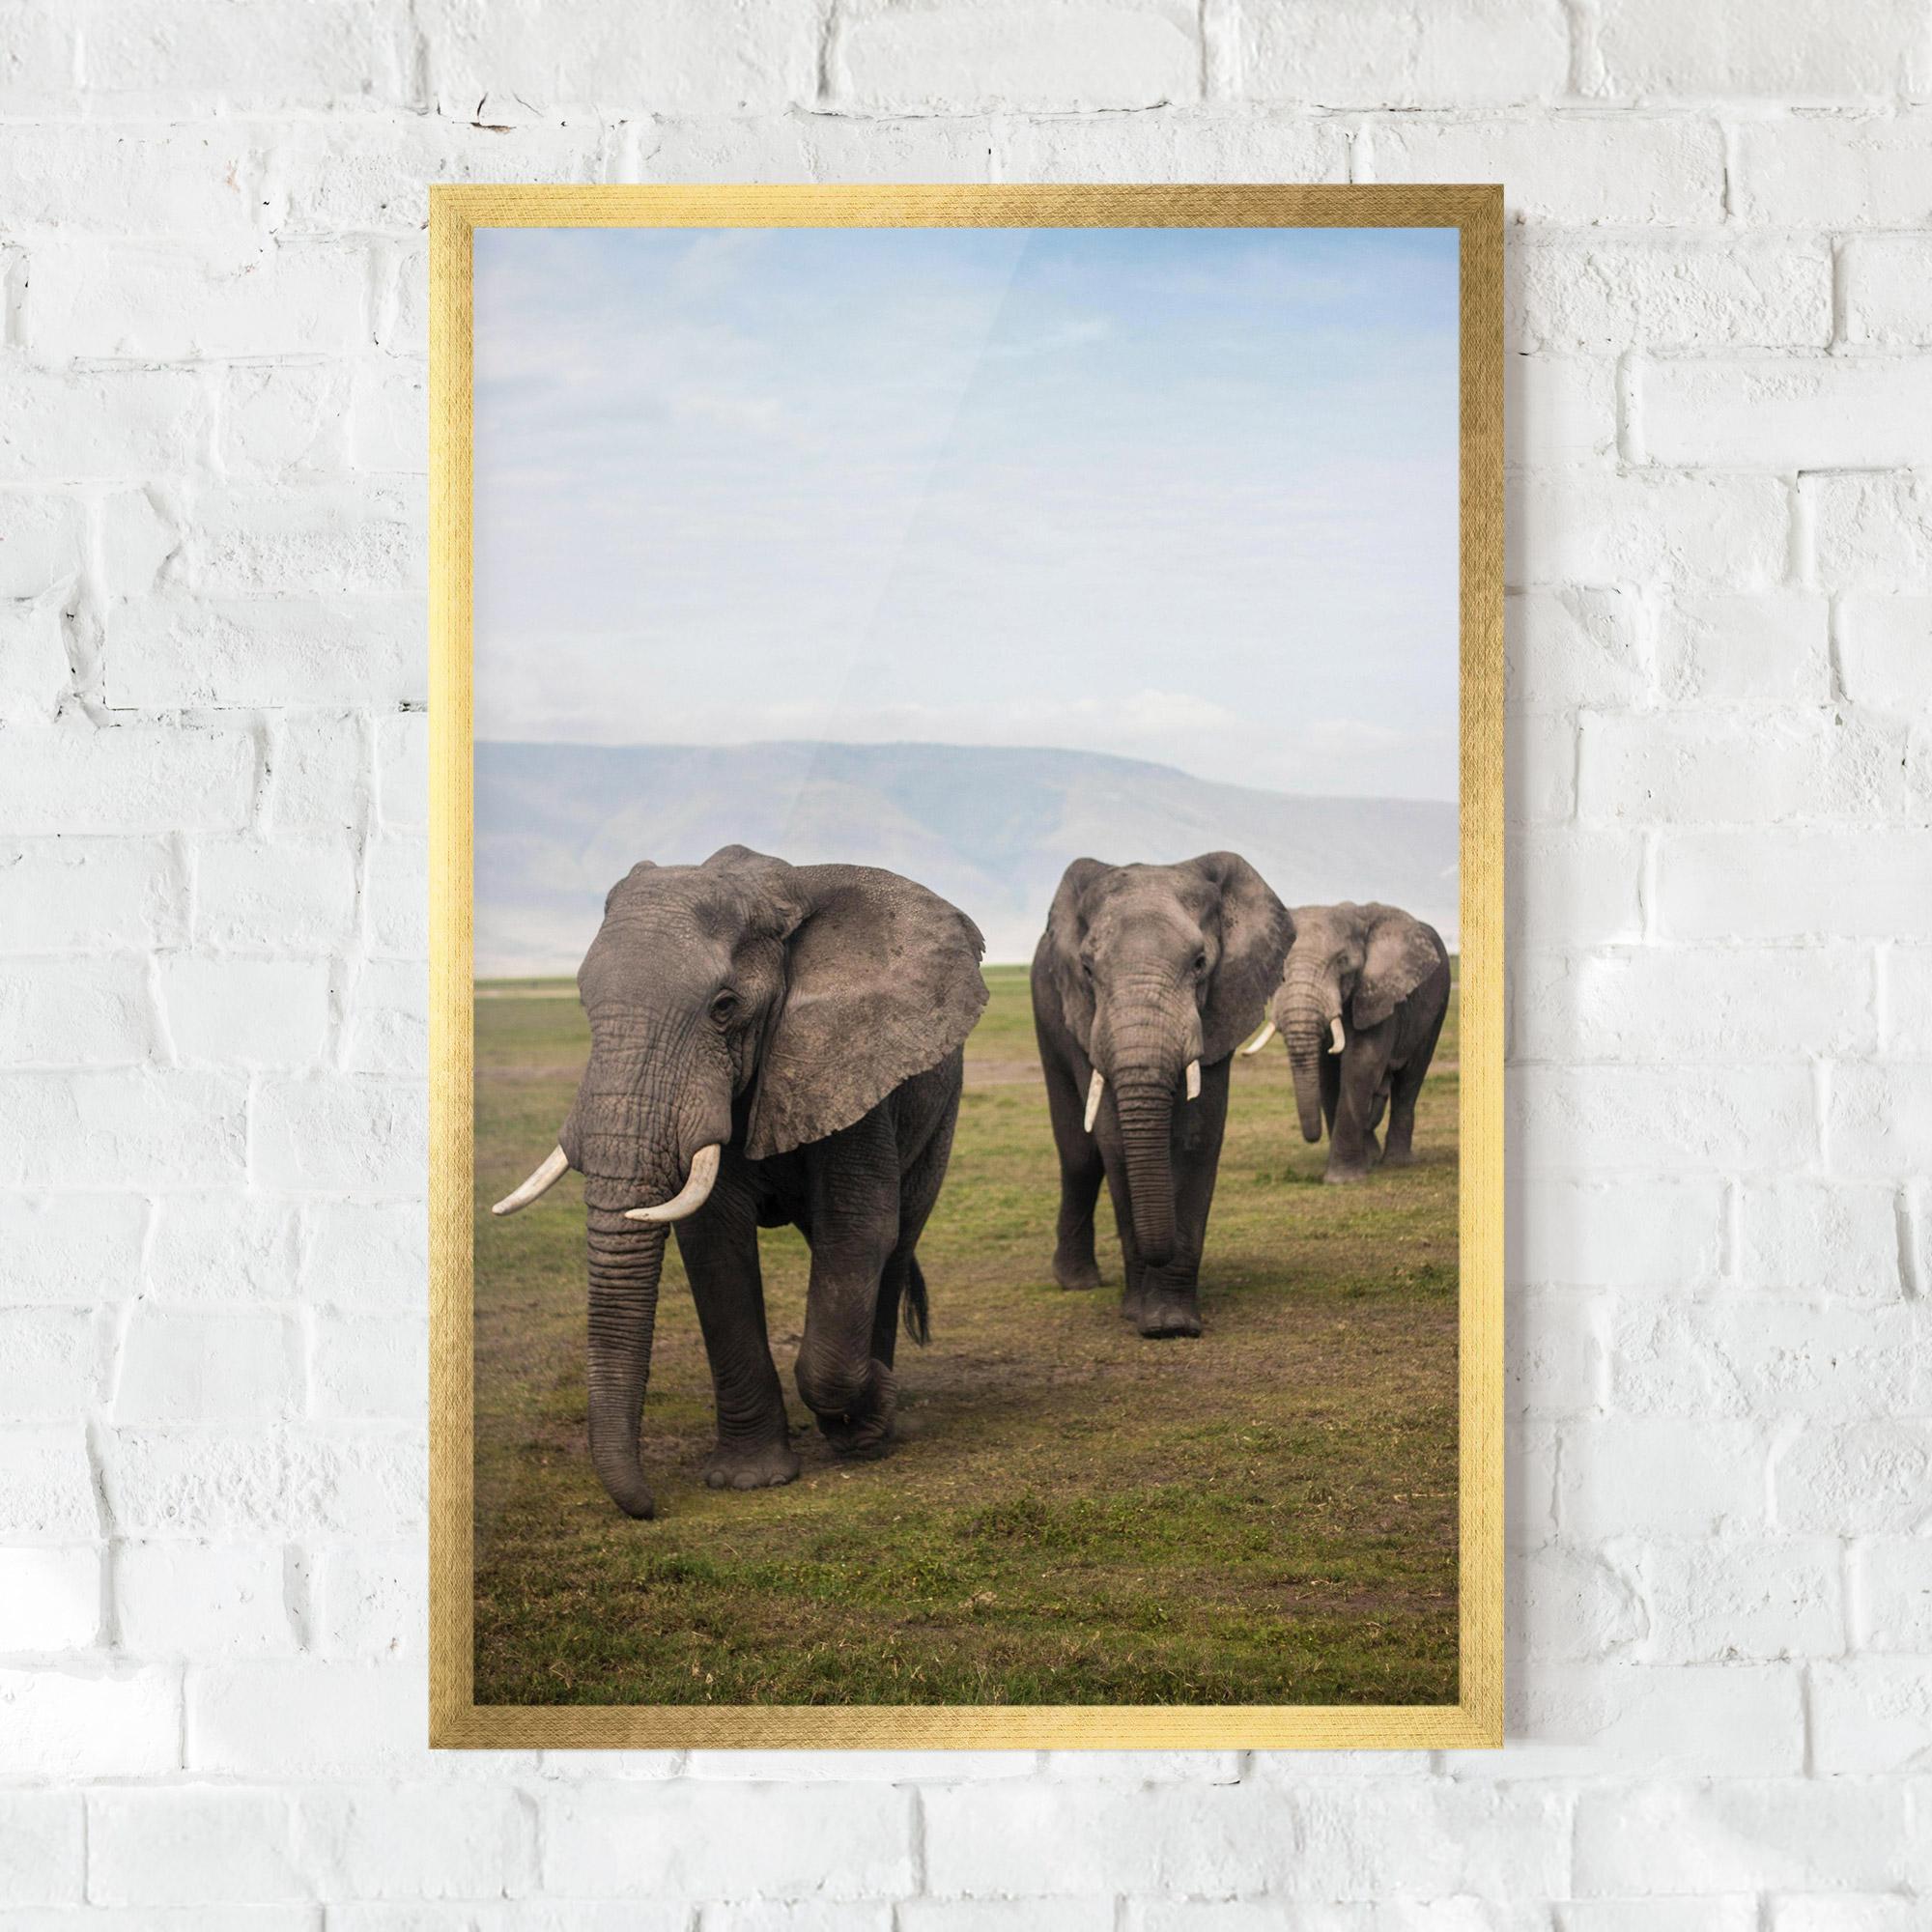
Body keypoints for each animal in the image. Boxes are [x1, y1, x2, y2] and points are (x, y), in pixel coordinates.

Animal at [491, 844, 988, 1520]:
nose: (649, 1506)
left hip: (942, 1109)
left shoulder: (849, 1059)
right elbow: (713, 1244)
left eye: (724, 1008)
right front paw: (748, 1480)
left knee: (897, 1238)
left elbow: (858, 1229)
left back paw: (873, 1426)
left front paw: (869, 1413)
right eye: (583, 1004)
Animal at [1031, 853, 1292, 1339]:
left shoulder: (1220, 1008)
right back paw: (1077, 1283)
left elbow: (1196, 1138)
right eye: (1087, 970)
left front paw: (1173, 1324)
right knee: (1079, 1155)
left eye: (1200, 963)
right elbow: (1114, 1142)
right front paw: (1142, 1316)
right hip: (1047, 1012)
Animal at [1242, 901, 1450, 1184]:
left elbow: (1361, 1063)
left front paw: (1342, 1180)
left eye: (1342, 962)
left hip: (1438, 1005)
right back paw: (1373, 1157)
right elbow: (1328, 1074)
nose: (1312, 1137)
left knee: (1411, 1078)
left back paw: (1397, 1162)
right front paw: (1360, 1165)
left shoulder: (1379, 994)